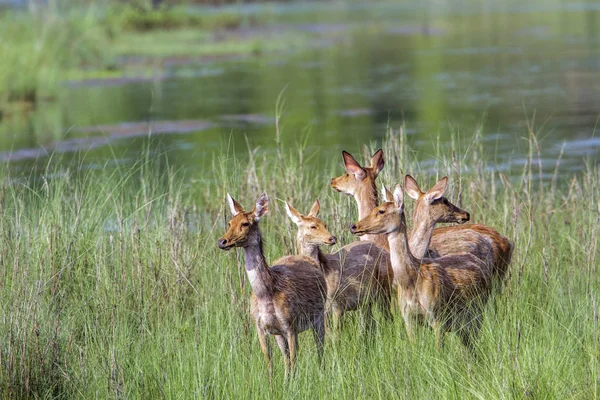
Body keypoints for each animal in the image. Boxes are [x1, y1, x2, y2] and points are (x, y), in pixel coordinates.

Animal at [218, 193, 326, 376]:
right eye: (230, 222)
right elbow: (270, 364)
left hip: (320, 316)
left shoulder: (290, 324)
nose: (222, 241)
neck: (266, 293)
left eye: (245, 223)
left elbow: (294, 362)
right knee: (286, 359)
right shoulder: (261, 327)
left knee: (320, 349)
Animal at [284, 198, 394, 332]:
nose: (332, 238)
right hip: (366, 300)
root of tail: (385, 251)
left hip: (384, 288)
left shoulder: (338, 304)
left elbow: (336, 334)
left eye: (325, 224)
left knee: (388, 317)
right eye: (313, 226)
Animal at [352, 179, 492, 350]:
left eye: (381, 211)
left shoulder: (438, 316)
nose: (355, 226)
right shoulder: (407, 318)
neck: (410, 281)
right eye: (375, 208)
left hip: (478, 311)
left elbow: (439, 349)